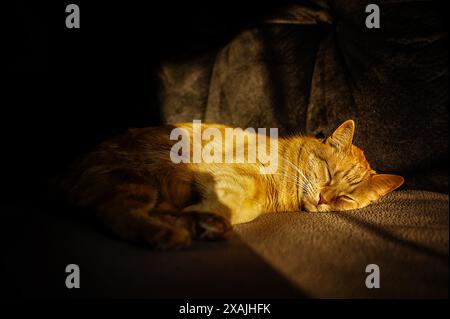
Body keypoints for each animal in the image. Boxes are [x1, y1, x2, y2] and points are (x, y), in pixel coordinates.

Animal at [60, 120, 404, 250]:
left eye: (345, 198)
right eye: (328, 173)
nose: (322, 198)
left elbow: (236, 206)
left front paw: (205, 220)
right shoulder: (237, 176)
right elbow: (236, 199)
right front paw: (204, 218)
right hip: (132, 182)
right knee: (116, 214)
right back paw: (168, 233)